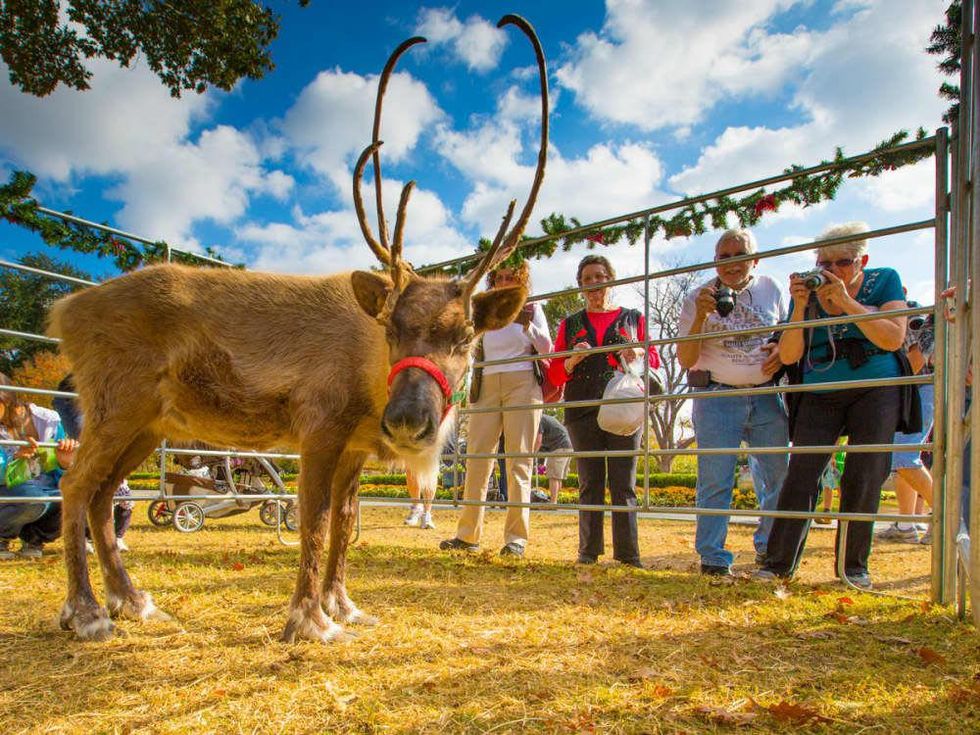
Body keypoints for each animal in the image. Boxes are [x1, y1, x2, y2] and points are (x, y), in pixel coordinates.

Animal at [46, 13, 548, 643]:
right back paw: (86, 611)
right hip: (117, 406)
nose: (408, 421)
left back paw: (132, 601)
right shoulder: (320, 431)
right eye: (391, 328)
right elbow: (313, 521)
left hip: (146, 422)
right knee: (75, 487)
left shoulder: (355, 447)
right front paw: (310, 620)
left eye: (465, 337)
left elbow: (345, 523)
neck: (370, 375)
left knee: (103, 495)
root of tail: (67, 310)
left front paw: (344, 605)